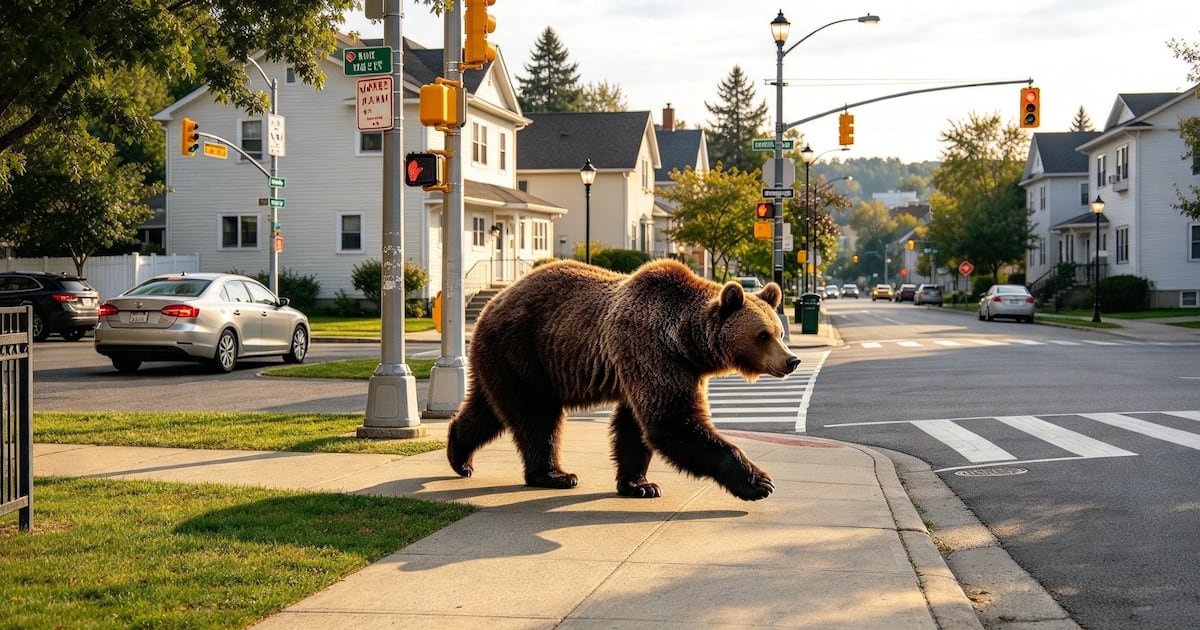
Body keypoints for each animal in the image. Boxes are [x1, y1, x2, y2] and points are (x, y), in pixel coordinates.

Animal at [446, 259, 801, 501]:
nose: (792, 360)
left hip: (506, 360)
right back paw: (554, 474)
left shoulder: (663, 368)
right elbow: (672, 421)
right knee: (536, 417)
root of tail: (489, 305)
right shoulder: (649, 350)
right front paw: (759, 482)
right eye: (763, 335)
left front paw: (640, 484)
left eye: (780, 332)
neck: (687, 343)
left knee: (486, 409)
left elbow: (634, 428)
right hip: (524, 350)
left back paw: (459, 455)